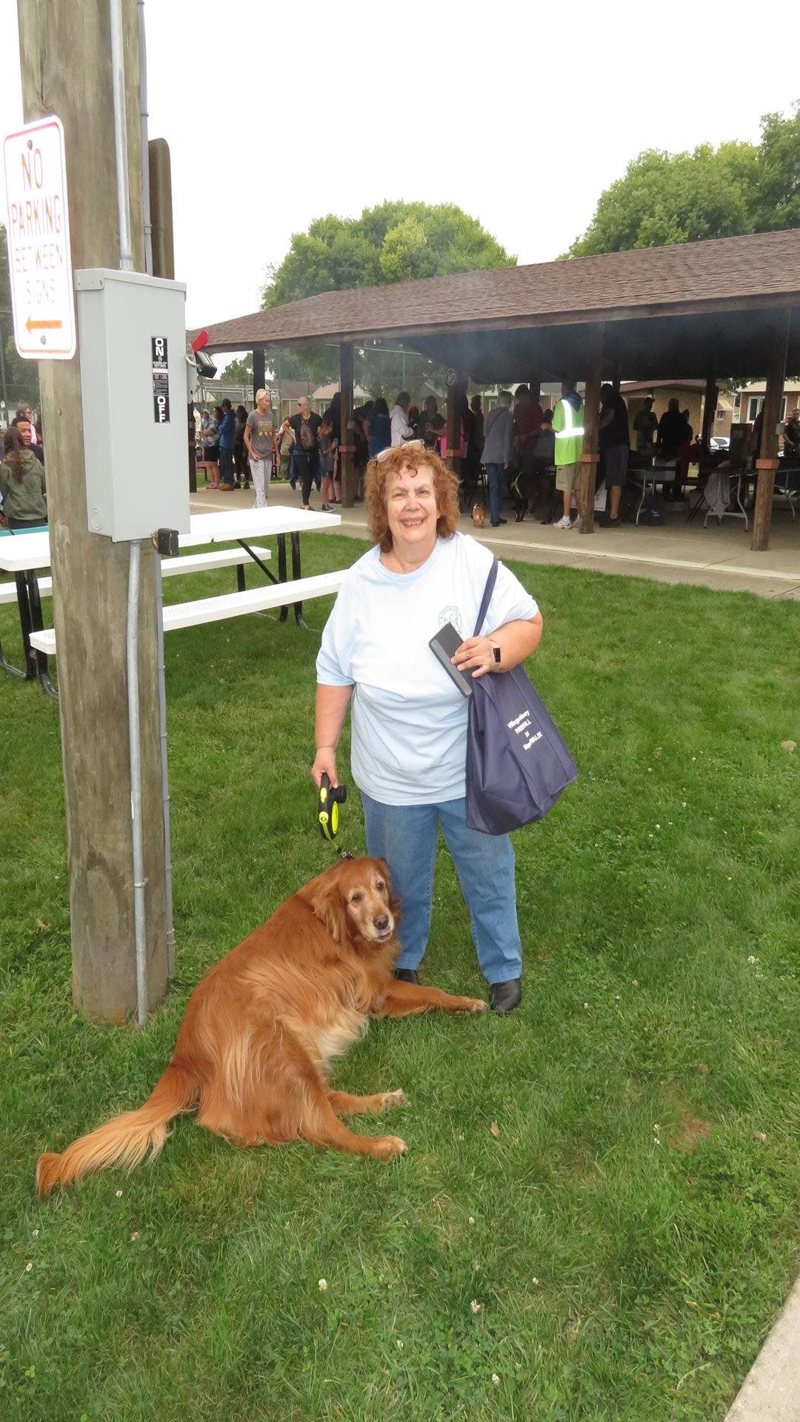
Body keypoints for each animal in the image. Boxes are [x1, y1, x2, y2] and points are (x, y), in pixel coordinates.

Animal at [36, 858, 486, 1194]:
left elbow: (432, 994)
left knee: (327, 1102)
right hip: (283, 1048)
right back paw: (382, 1145)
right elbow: (430, 992)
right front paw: (466, 1002)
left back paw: (383, 1101)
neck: (333, 922)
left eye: (379, 886)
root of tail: (185, 1054)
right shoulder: (376, 990)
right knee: (322, 1127)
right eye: (356, 897)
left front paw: (466, 1004)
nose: (382, 923)